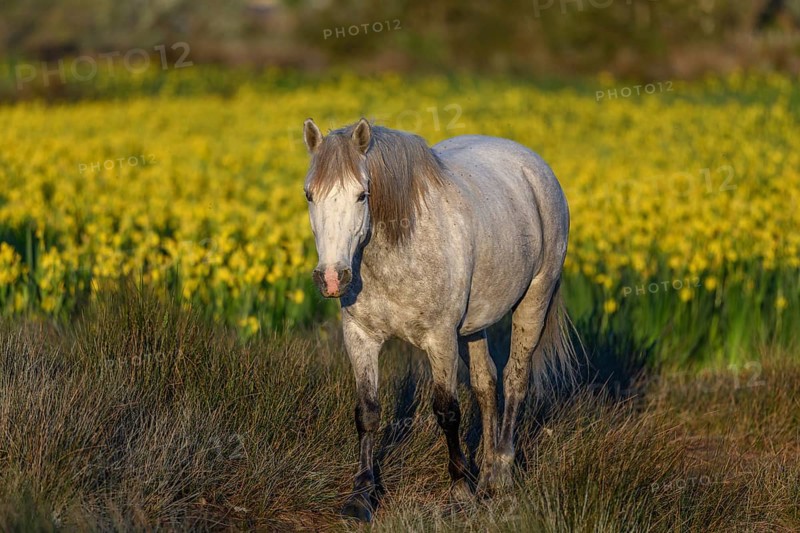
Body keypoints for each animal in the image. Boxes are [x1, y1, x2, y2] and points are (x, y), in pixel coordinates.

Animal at [302, 118, 577, 521]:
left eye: (362, 195)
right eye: (310, 195)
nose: (333, 279)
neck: (397, 251)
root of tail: (533, 164)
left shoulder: (440, 339)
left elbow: (447, 412)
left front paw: (460, 491)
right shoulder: (360, 337)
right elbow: (367, 412)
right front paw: (361, 496)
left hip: (534, 301)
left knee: (515, 379)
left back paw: (501, 475)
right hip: (474, 325)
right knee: (485, 383)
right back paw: (488, 473)